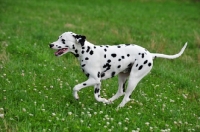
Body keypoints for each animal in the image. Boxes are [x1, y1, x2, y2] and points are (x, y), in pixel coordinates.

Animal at [49, 31, 187, 108]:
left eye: (63, 40)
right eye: (58, 38)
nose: (50, 44)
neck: (87, 52)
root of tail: (150, 54)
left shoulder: (93, 80)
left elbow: (75, 87)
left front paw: (76, 96)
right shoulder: (97, 82)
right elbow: (97, 97)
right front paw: (104, 101)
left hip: (133, 79)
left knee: (126, 97)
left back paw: (118, 108)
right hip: (122, 76)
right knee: (120, 92)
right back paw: (110, 101)